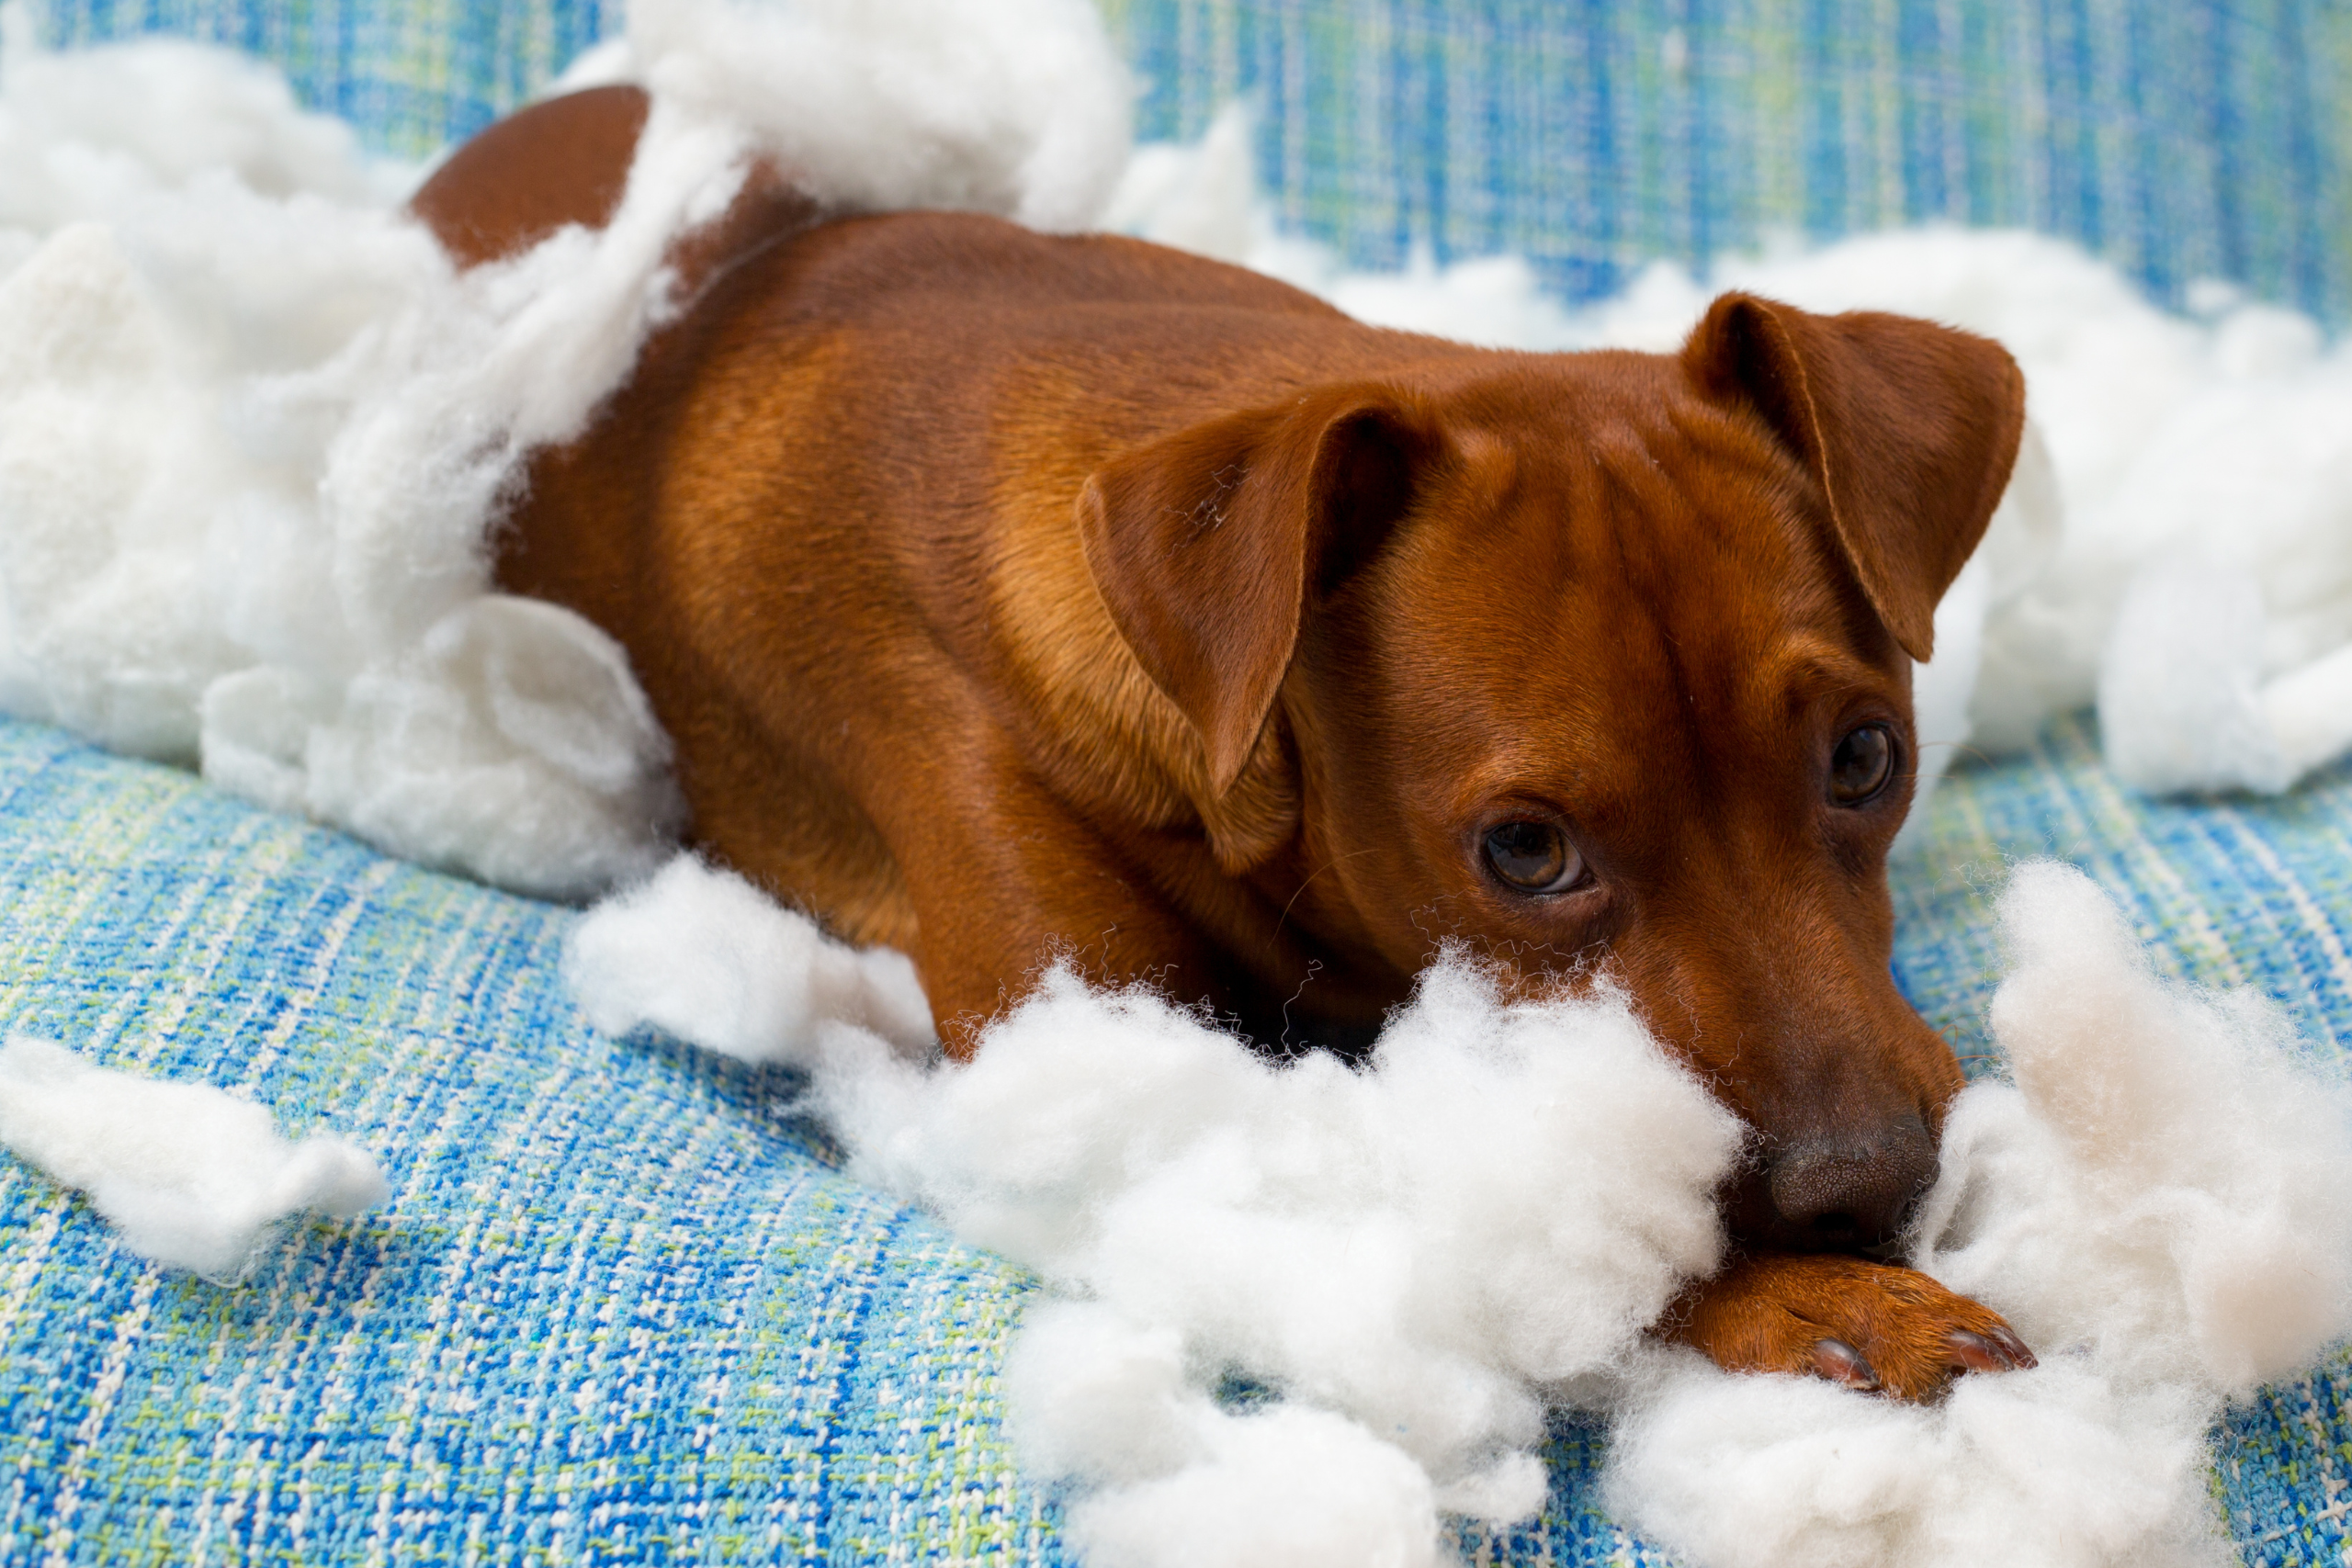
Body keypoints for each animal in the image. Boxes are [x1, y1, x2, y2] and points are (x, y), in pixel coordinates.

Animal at [418, 85, 2041, 1401]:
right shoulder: (1100, 1051)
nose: (1867, 1190)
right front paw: (1828, 1298)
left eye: (1867, 758)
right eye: (1525, 849)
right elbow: (1547, 1215)